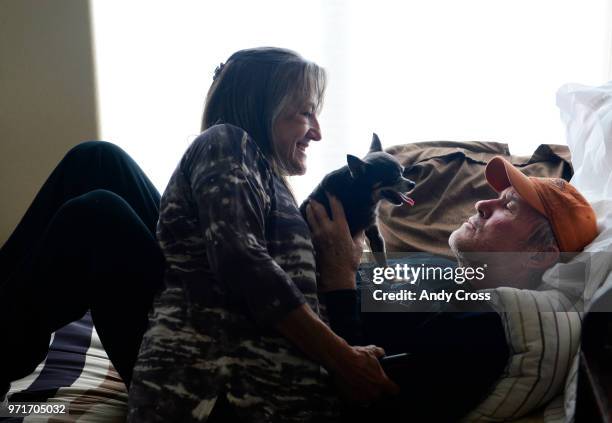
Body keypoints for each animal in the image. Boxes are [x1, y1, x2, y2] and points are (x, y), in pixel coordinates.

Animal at [302, 133, 416, 264]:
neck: (359, 194)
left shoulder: (374, 234)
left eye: (402, 172)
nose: (413, 184)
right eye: (393, 177)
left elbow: (382, 261)